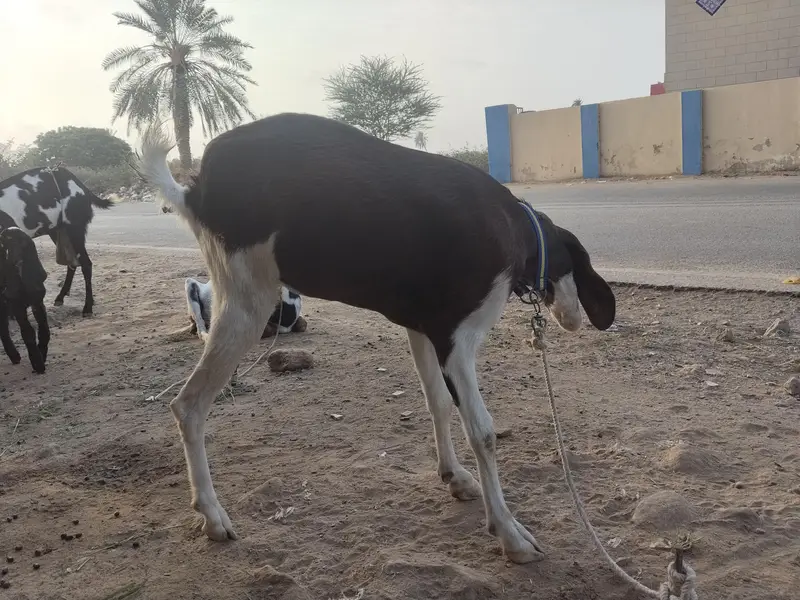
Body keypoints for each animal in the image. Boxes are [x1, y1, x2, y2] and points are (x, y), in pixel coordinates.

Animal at [0, 166, 114, 317]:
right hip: (57, 231)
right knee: (73, 263)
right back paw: (61, 297)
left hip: (75, 229)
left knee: (85, 264)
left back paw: (87, 307)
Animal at [0, 227, 50, 374]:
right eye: (5, 245)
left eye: (24, 245)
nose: (15, 260)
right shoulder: (17, 306)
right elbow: (28, 331)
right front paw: (37, 363)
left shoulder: (38, 302)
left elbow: (44, 329)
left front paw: (42, 353)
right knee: (3, 328)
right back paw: (14, 355)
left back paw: (14, 357)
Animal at [139, 113, 616, 564]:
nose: (575, 320)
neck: (514, 226)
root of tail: (197, 188)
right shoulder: (457, 341)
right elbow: (483, 432)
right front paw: (510, 534)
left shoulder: (422, 329)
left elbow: (437, 402)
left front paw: (453, 475)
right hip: (246, 302)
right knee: (189, 406)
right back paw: (212, 515)